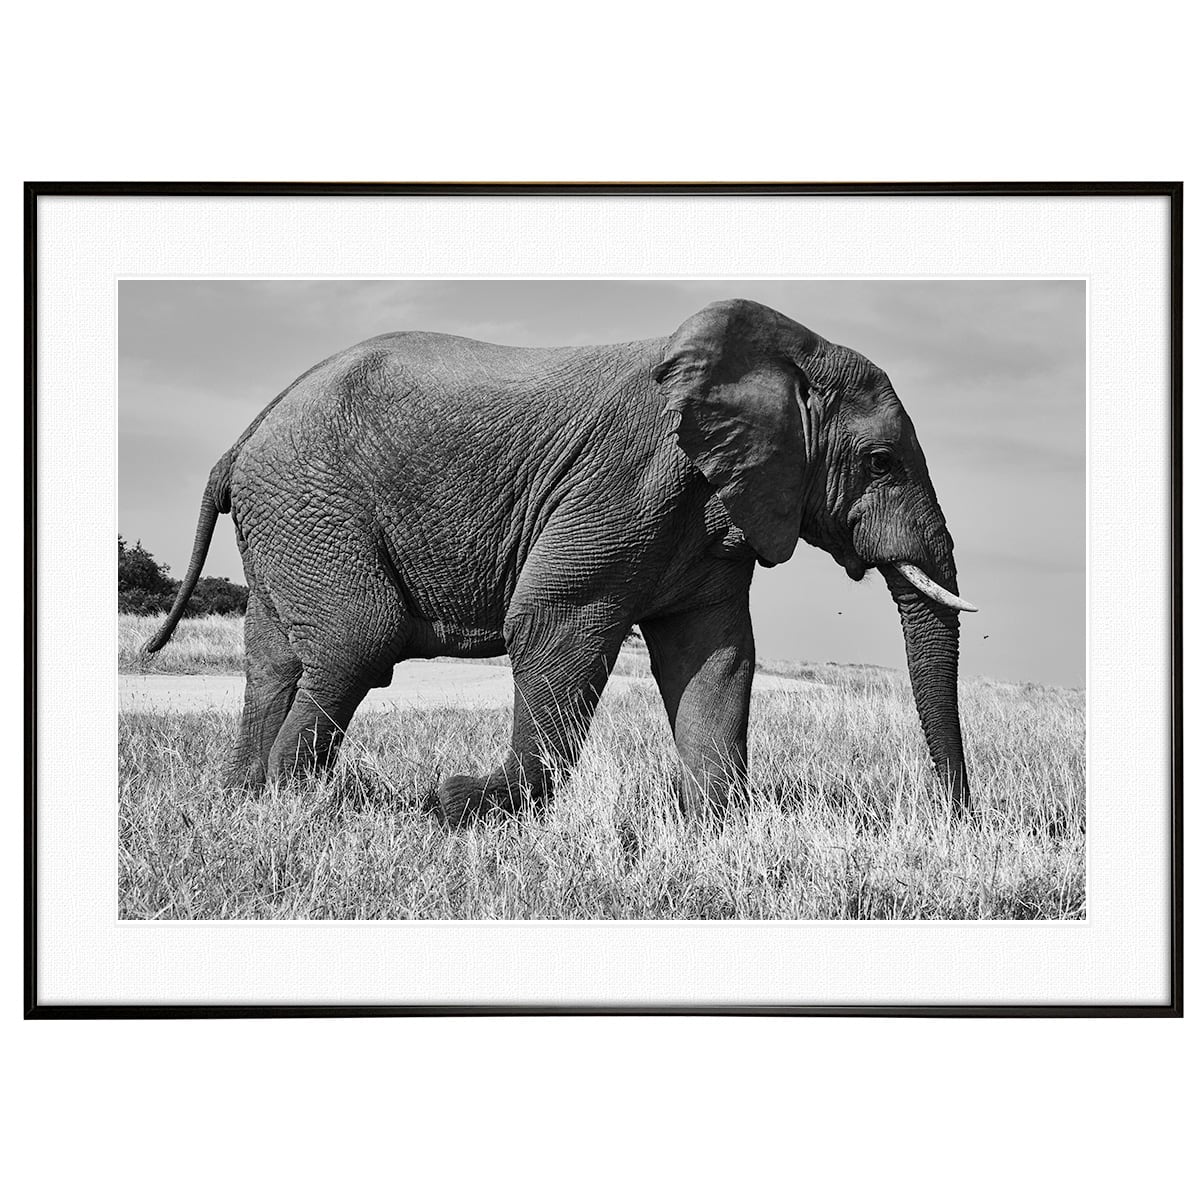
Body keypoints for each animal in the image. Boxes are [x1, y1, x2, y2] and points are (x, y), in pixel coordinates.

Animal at [145, 298, 976, 825]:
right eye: (881, 462)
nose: (959, 817)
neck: (782, 352)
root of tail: (242, 440)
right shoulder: (625, 478)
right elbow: (553, 622)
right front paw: (456, 803)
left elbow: (715, 654)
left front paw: (715, 828)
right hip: (314, 502)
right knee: (358, 639)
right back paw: (291, 804)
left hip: (288, 517)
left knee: (276, 658)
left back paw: (246, 798)